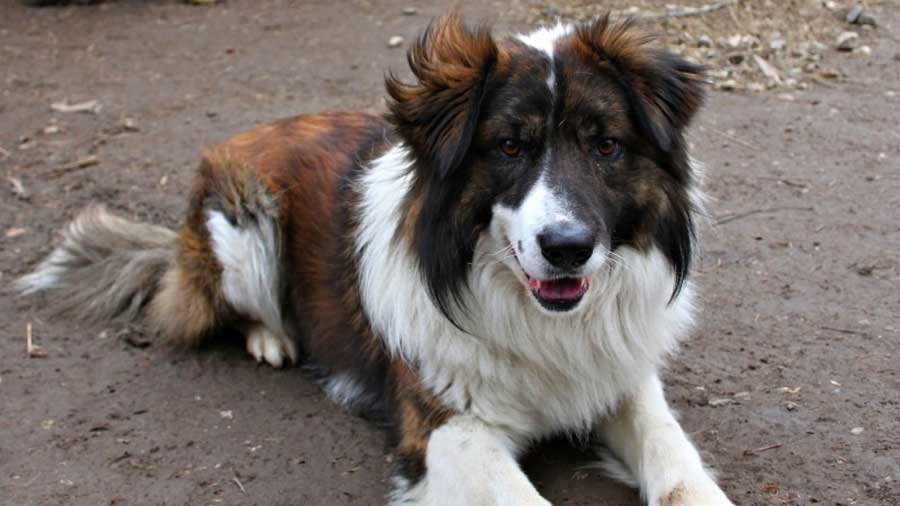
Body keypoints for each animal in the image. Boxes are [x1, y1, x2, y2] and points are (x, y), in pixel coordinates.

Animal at [19, 11, 740, 506]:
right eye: (509, 146)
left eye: (605, 145)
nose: (567, 249)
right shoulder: (445, 428)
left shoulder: (620, 376)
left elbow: (675, 457)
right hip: (243, 224)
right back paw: (272, 338)